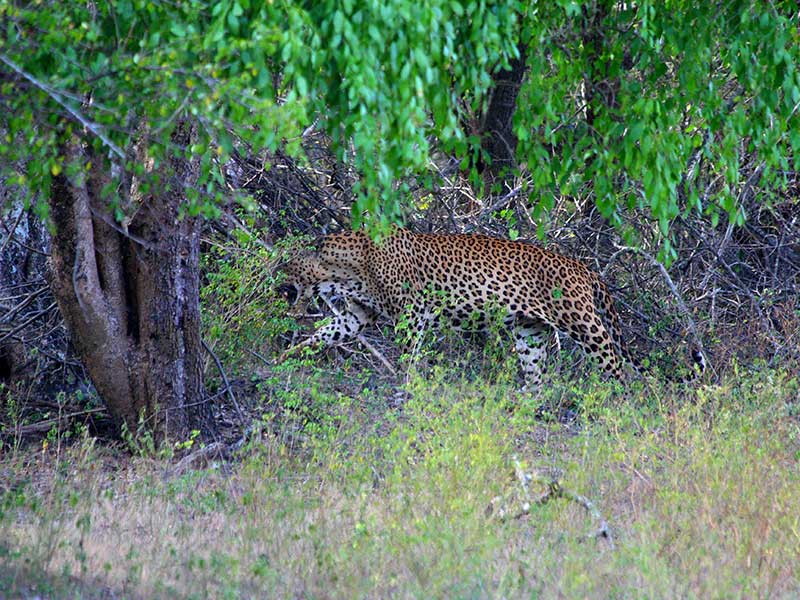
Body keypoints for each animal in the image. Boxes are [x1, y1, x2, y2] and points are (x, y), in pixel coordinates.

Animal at [278, 227, 703, 386]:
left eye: (288, 271)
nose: (281, 287)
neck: (345, 268)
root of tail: (584, 267)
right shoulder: (355, 316)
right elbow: (322, 335)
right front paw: (288, 358)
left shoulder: (412, 314)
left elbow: (409, 355)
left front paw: (407, 384)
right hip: (530, 331)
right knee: (536, 376)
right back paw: (525, 406)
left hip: (584, 323)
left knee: (616, 365)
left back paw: (619, 402)